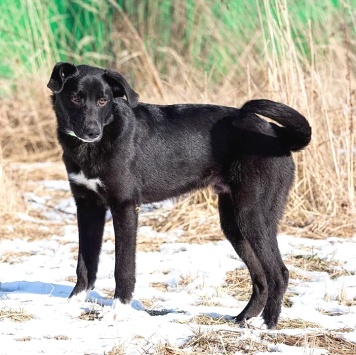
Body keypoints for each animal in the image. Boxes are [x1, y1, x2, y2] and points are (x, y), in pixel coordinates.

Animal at [48, 62, 312, 330]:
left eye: (103, 100)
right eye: (75, 98)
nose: (92, 132)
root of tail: (277, 135)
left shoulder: (125, 206)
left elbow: (123, 267)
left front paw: (117, 312)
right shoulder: (87, 206)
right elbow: (85, 264)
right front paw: (71, 305)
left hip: (252, 214)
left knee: (278, 272)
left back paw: (267, 325)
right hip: (234, 223)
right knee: (260, 277)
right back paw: (243, 318)